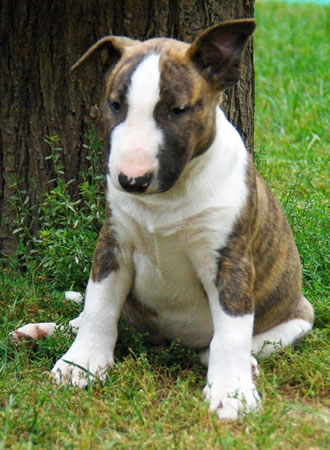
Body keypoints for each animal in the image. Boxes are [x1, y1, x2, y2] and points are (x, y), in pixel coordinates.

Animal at [10, 19, 314, 420]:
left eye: (178, 110)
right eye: (116, 105)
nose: (131, 179)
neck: (166, 200)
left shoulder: (230, 261)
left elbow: (231, 332)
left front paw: (232, 394)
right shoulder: (113, 244)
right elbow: (98, 306)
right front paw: (82, 364)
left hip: (297, 317)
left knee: (228, 345)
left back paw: (244, 364)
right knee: (89, 315)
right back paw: (43, 330)